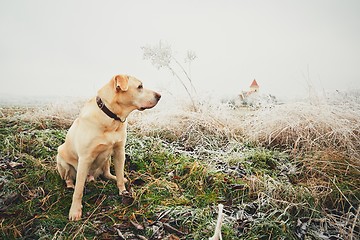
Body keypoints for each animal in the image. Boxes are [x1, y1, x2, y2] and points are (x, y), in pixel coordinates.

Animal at [56, 74, 160, 220]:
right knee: (68, 178)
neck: (112, 117)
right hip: (61, 159)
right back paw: (70, 185)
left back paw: (113, 177)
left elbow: (120, 175)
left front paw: (123, 192)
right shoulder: (85, 159)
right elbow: (79, 190)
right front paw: (75, 211)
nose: (159, 96)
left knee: (106, 173)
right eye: (140, 86)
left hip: (107, 158)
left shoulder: (119, 151)